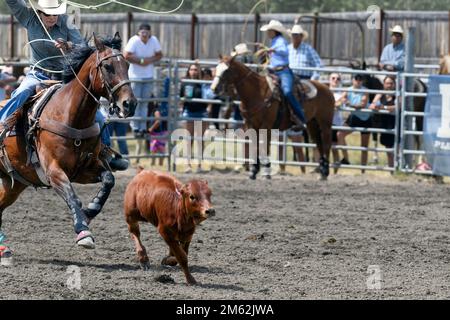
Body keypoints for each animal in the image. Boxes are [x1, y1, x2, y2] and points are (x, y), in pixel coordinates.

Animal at [0, 33, 135, 258]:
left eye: (127, 64)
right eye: (107, 67)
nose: (129, 104)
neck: (70, 115)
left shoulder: (84, 170)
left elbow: (109, 179)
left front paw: (90, 210)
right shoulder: (53, 170)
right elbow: (72, 197)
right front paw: (83, 232)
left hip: (14, 183)